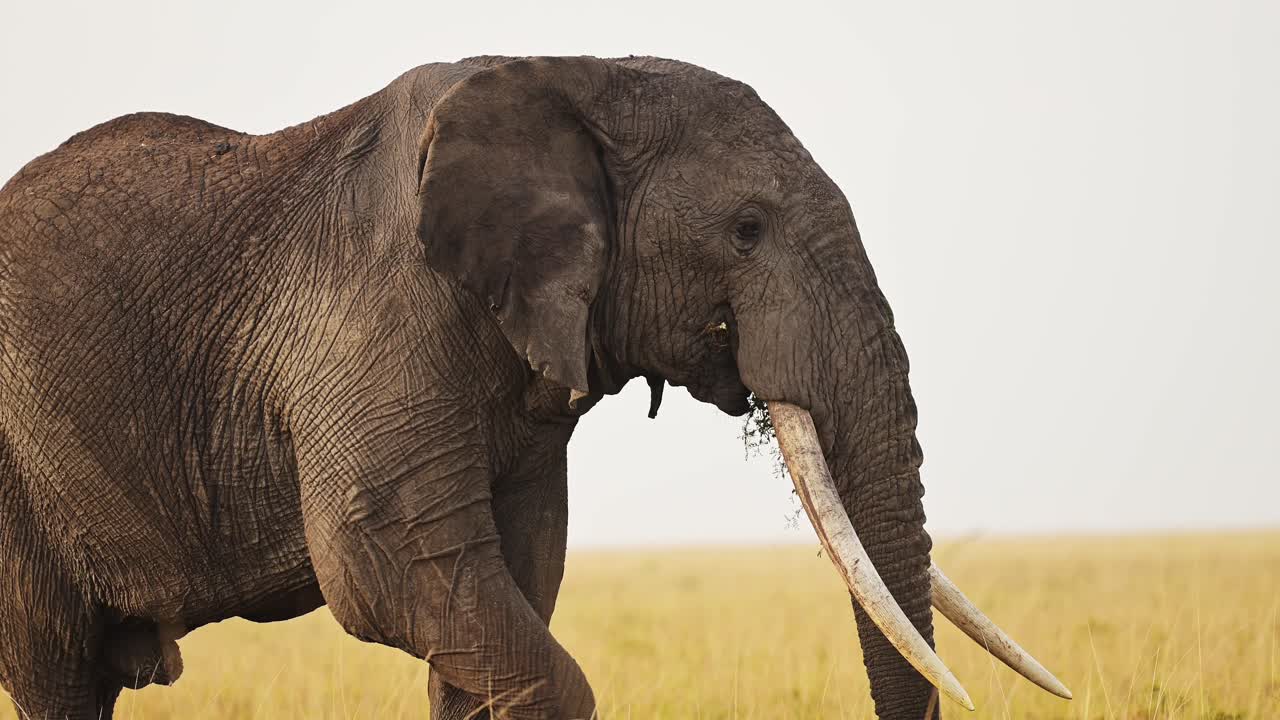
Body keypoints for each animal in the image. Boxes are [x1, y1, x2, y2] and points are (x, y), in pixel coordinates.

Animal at [0, 55, 1071, 719]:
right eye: (746, 232)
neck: (575, 75)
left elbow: (514, 575)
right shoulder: (378, 316)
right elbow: (387, 569)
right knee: (54, 675)